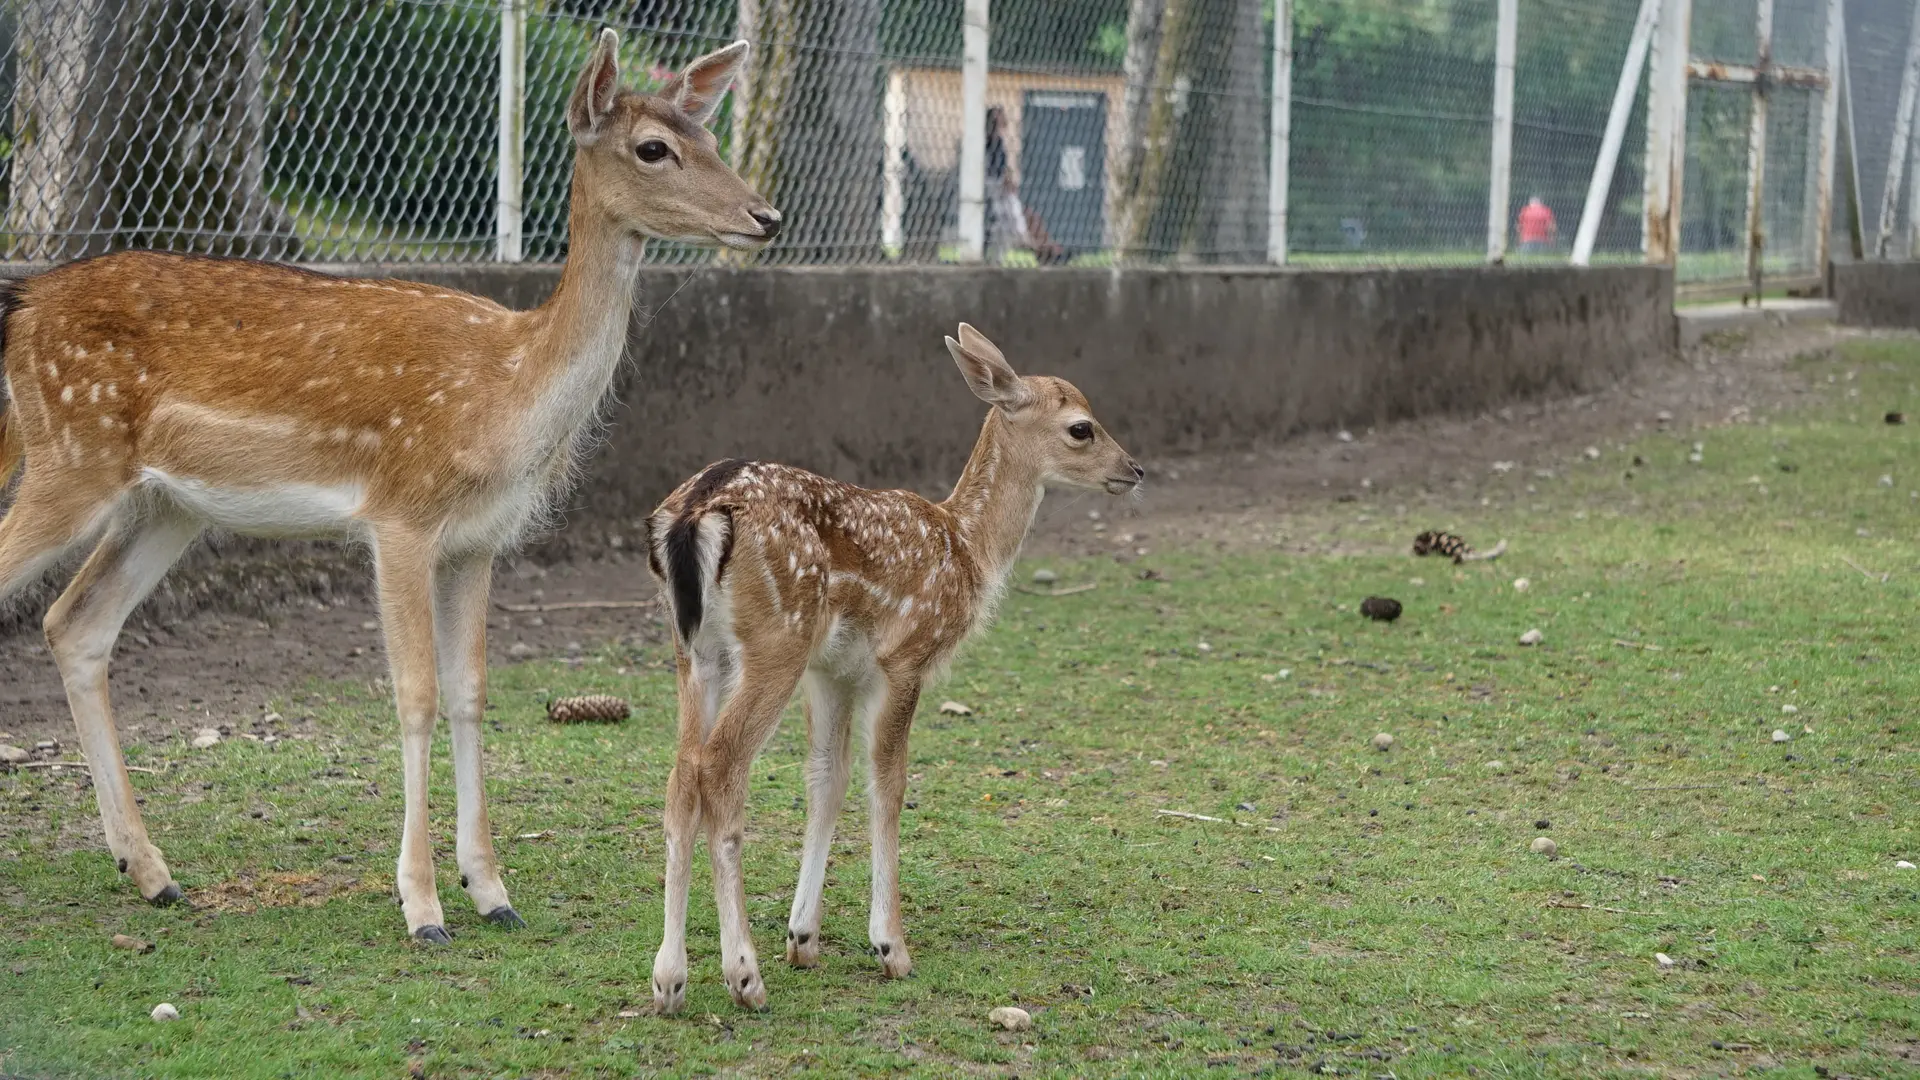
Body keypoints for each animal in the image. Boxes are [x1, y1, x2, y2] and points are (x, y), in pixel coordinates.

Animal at [0, 31, 771, 941]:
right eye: (654, 147)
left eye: (711, 136)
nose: (765, 216)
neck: (506, 393)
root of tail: (23, 305)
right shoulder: (401, 514)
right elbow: (414, 694)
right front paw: (423, 905)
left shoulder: (478, 540)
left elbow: (472, 691)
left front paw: (492, 890)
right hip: (69, 456)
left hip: (166, 506)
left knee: (74, 624)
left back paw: (151, 871)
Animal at [637, 320, 1144, 1006]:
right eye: (1081, 427)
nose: (1134, 470)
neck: (966, 547)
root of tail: (694, 514)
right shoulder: (905, 658)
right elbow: (890, 783)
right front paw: (891, 947)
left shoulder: (832, 672)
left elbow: (827, 779)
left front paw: (804, 939)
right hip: (776, 641)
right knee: (720, 768)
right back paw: (743, 974)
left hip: (695, 650)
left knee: (681, 772)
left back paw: (669, 978)